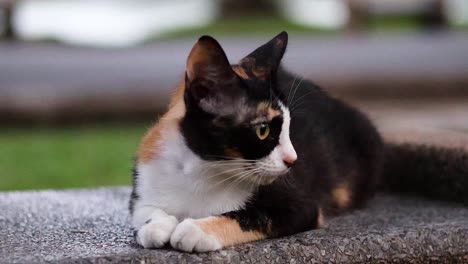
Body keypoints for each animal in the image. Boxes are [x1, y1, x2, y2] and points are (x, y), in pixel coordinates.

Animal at [130, 32, 468, 253]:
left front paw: (196, 229)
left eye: (290, 128)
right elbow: (145, 210)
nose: (293, 160)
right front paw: (155, 226)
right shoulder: (147, 177)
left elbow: (256, 216)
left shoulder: (300, 204)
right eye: (263, 130)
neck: (204, 168)